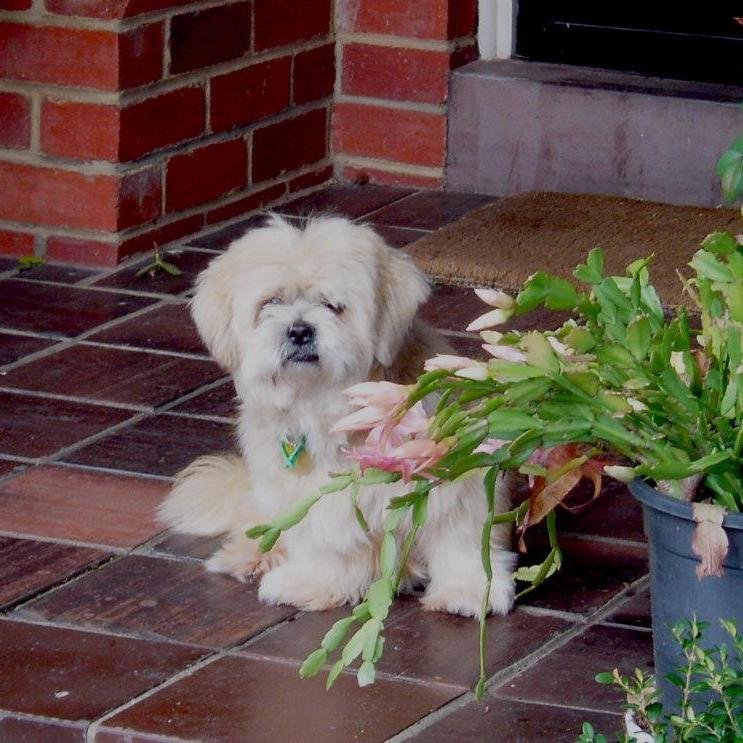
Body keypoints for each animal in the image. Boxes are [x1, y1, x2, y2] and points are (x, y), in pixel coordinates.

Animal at [159, 215, 516, 616]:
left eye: (332, 305)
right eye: (272, 303)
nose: (299, 330)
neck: (333, 408)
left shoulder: (456, 473)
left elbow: (460, 536)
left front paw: (468, 588)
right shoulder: (312, 497)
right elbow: (323, 543)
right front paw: (314, 582)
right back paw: (254, 556)